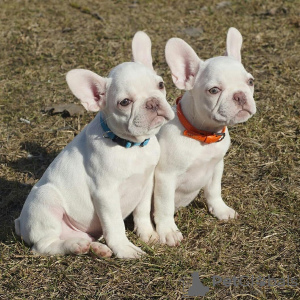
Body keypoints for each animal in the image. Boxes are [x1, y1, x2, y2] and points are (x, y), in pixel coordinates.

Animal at [15, 31, 175, 258]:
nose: (152, 102)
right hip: (46, 200)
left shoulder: (146, 183)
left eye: (160, 85)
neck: (131, 146)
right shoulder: (105, 193)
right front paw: (125, 248)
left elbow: (142, 211)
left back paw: (94, 247)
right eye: (125, 102)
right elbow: (115, 224)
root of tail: (20, 223)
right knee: (44, 245)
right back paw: (76, 246)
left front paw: (148, 235)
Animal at [155, 27, 255, 245]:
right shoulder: (165, 177)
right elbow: (164, 206)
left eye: (250, 81)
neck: (203, 135)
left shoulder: (217, 165)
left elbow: (214, 190)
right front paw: (168, 231)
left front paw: (220, 210)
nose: (240, 95)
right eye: (214, 90)